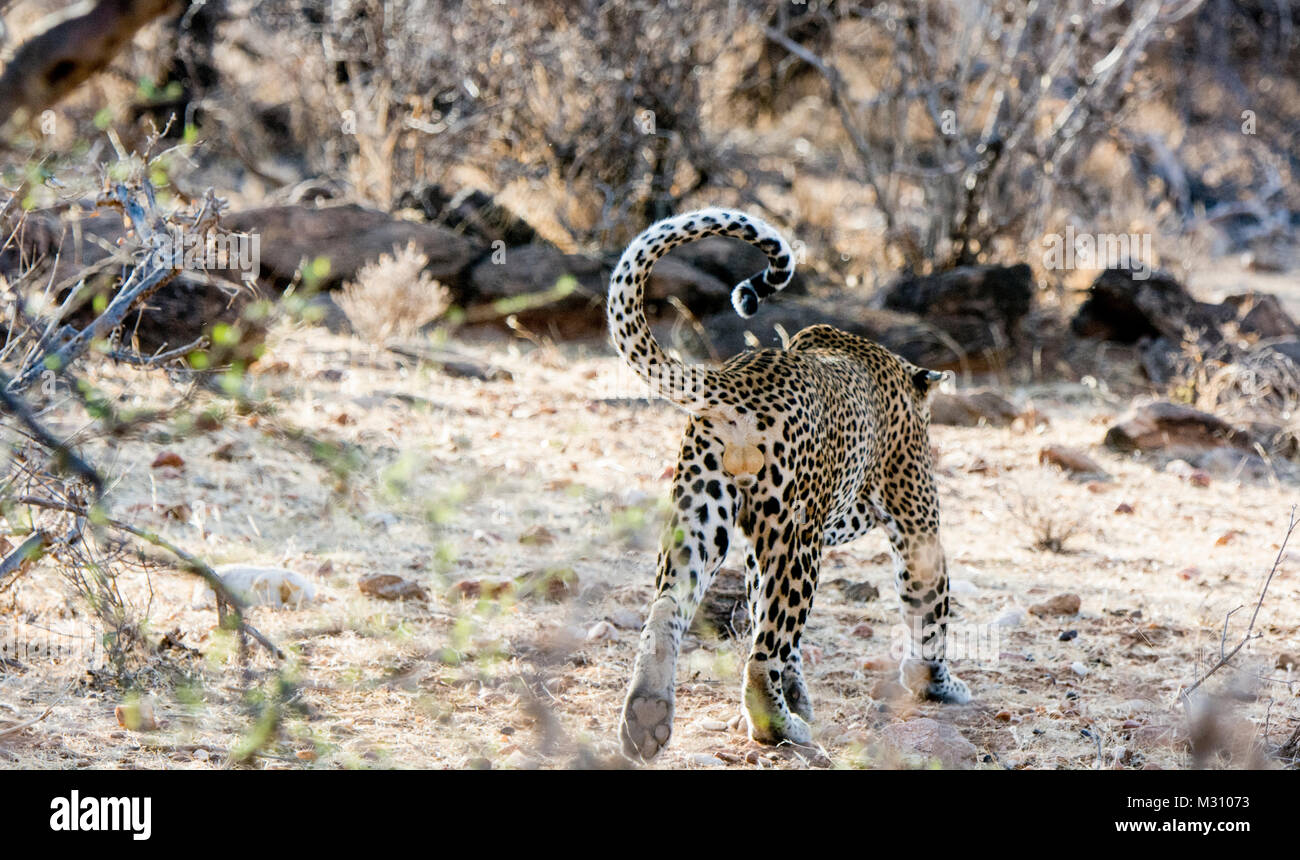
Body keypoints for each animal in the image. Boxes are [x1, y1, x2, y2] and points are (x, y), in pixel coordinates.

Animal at [605, 209, 967, 763]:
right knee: (759, 657)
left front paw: (796, 691)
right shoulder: (916, 522)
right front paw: (936, 684)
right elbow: (929, 606)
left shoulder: (758, 548)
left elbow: (773, 628)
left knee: (667, 610)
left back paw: (648, 717)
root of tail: (739, 380)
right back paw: (780, 728)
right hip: (798, 541)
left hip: (702, 517)